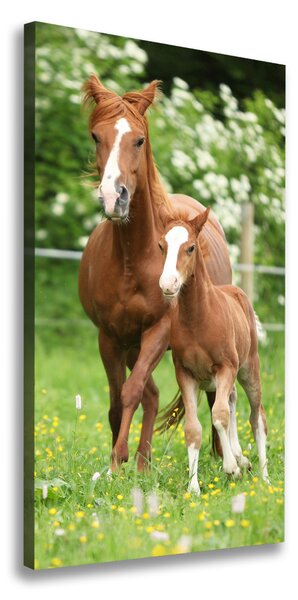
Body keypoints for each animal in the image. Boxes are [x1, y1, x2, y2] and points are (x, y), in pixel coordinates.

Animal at [79, 75, 233, 472]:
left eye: (139, 140)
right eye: (96, 136)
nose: (113, 197)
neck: (134, 259)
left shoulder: (158, 331)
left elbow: (131, 391)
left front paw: (118, 460)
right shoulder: (110, 337)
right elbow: (118, 399)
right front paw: (118, 464)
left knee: (209, 395)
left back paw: (218, 456)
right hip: (131, 345)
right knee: (151, 394)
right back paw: (144, 462)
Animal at [159, 209, 268, 494]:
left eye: (190, 247)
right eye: (162, 246)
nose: (168, 284)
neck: (198, 318)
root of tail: (237, 291)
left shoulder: (225, 367)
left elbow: (219, 416)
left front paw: (231, 468)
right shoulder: (185, 374)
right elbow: (193, 428)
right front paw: (193, 488)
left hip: (248, 369)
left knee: (256, 416)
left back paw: (263, 477)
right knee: (231, 401)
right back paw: (242, 457)